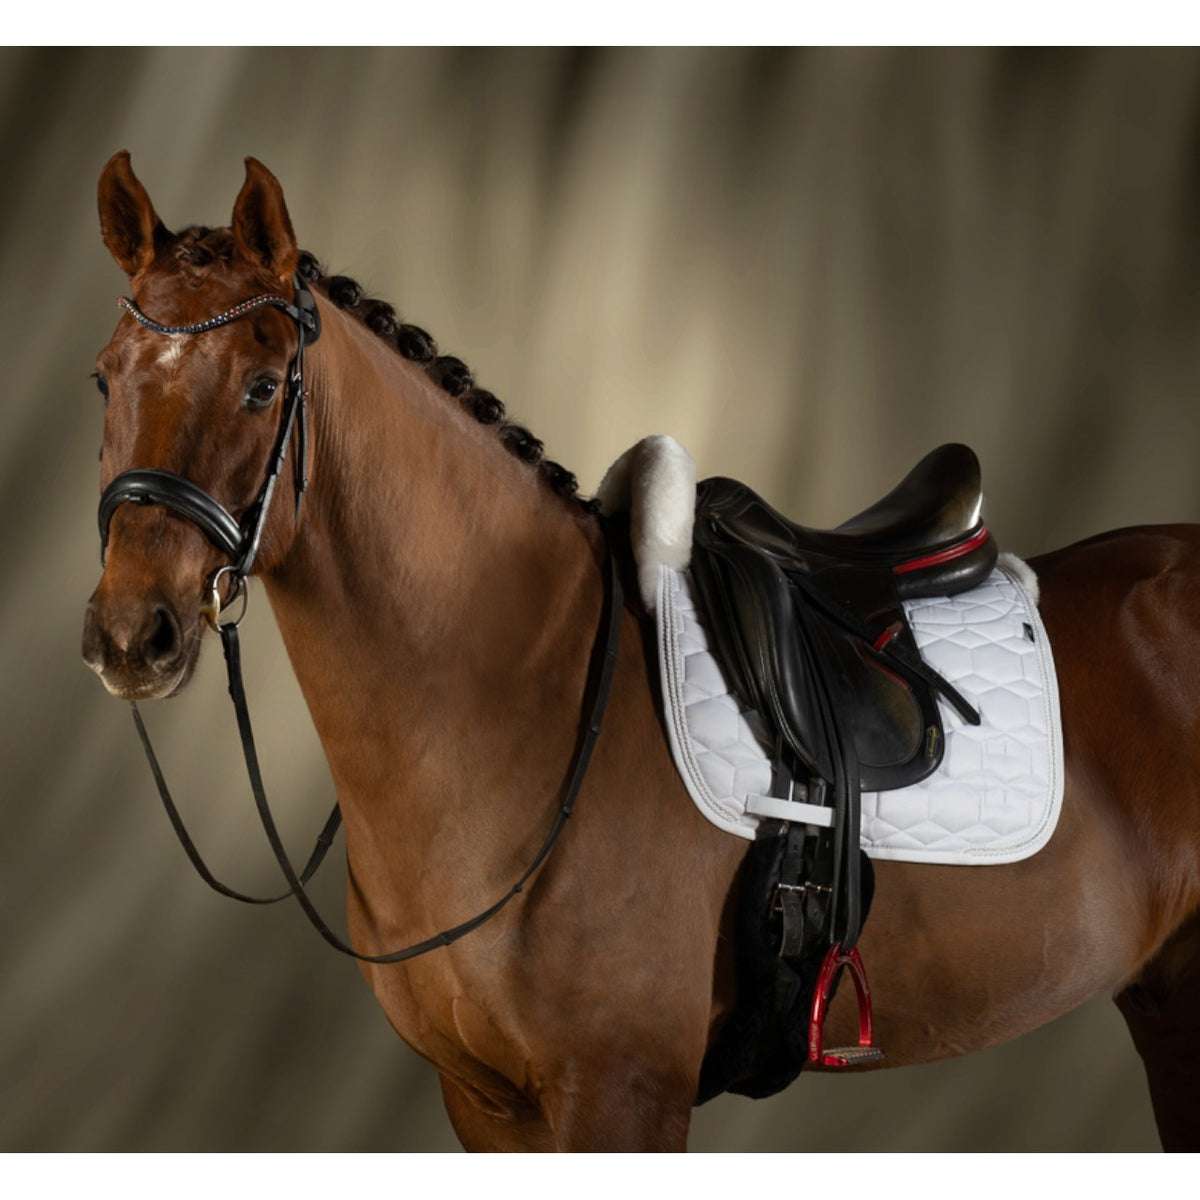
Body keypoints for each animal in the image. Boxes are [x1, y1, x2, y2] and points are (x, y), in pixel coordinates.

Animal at [81, 151, 1200, 1152]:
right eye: (103, 381)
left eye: (265, 385)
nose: (133, 635)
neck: (521, 701)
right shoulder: (487, 1108)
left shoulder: (620, 1093)